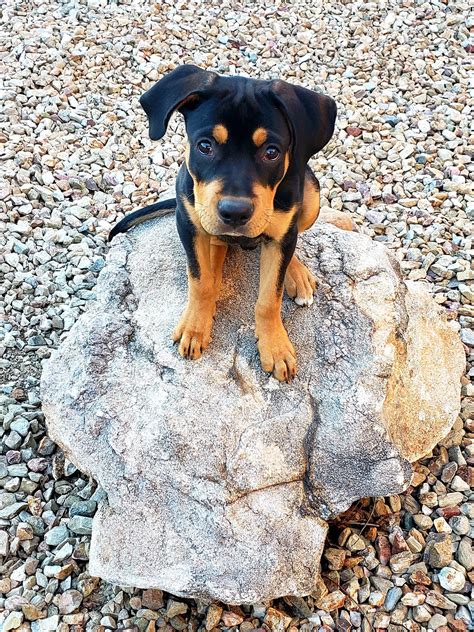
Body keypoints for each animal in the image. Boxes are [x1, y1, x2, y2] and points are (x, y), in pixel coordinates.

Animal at [109, 65, 338, 380]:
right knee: (215, 250)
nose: (235, 213)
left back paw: (296, 273)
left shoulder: (283, 231)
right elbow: (200, 281)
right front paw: (195, 326)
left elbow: (270, 297)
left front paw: (275, 347)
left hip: (311, 194)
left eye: (271, 152)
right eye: (205, 146)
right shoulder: (188, 223)